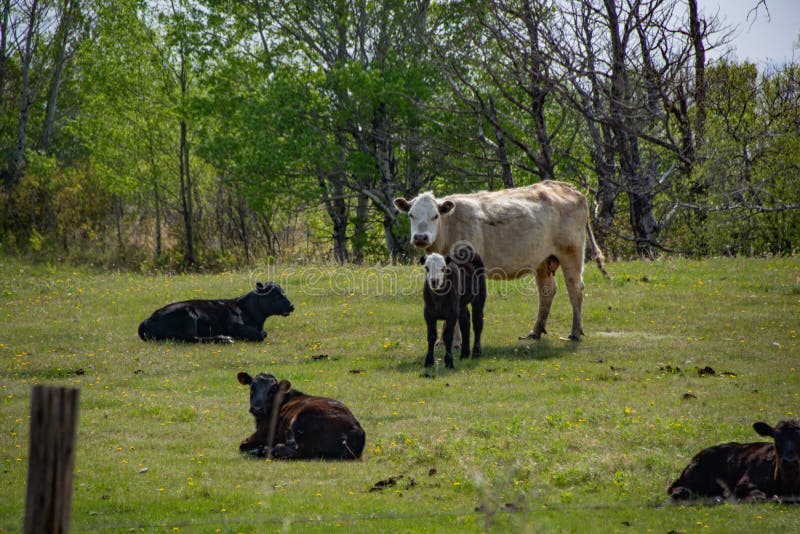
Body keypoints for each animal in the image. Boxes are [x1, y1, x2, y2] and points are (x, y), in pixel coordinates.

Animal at [138, 282, 294, 343]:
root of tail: (147, 319)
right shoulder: (233, 325)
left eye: (283, 292)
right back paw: (224, 338)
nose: (291, 306)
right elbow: (262, 334)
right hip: (187, 313)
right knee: (192, 338)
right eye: (275, 295)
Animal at [237, 372, 365, 460]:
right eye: (252, 387)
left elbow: (242, 445)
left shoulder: (264, 433)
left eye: (272, 390)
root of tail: (356, 430)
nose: (257, 408)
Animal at [394, 181, 608, 341]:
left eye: (435, 215)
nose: (420, 237)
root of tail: (568, 187)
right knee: (547, 291)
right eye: (411, 215)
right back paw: (536, 331)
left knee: (575, 289)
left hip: (571, 253)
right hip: (542, 260)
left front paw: (453, 341)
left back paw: (575, 332)